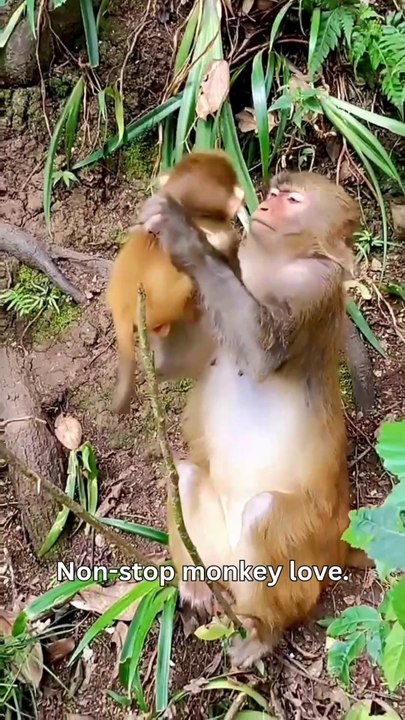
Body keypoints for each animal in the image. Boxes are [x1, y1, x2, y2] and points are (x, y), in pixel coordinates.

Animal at [139, 170, 373, 669]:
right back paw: (197, 588)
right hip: (217, 552)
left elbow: (263, 351)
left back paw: (264, 632)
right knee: (186, 475)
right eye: (272, 194)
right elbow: (180, 361)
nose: (262, 208)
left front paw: (184, 236)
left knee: (263, 515)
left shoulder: (315, 288)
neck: (273, 263)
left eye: (293, 200)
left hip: (308, 556)